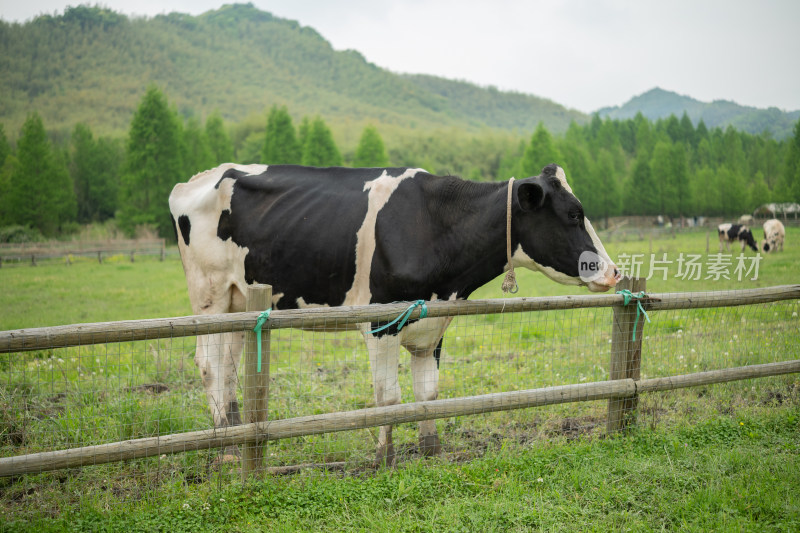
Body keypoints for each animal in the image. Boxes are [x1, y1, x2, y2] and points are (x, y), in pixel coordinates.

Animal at [167, 163, 620, 466]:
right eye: (573, 214)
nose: (614, 271)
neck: (434, 227)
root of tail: (196, 180)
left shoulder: (433, 323)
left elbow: (428, 394)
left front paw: (431, 450)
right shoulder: (380, 323)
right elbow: (389, 397)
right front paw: (383, 457)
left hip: (237, 302)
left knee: (227, 367)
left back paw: (231, 437)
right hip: (207, 295)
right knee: (209, 364)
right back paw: (226, 450)